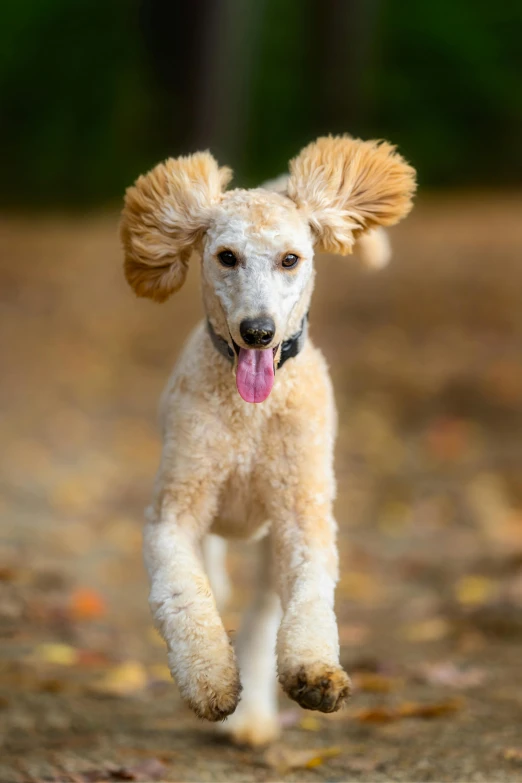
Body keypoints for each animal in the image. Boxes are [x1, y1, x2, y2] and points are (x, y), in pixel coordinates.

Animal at [119, 136, 414, 748]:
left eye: (290, 259)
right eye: (227, 256)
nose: (258, 331)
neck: (250, 418)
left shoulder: (302, 516)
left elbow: (309, 599)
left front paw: (315, 674)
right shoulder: (175, 512)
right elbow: (184, 593)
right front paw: (209, 680)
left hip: (266, 543)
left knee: (258, 618)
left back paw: (254, 717)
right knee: (216, 583)